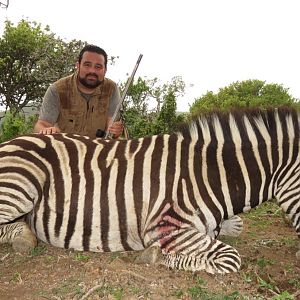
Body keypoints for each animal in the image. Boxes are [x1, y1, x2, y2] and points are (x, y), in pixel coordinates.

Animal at [0, 106, 298, 274]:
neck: (209, 175)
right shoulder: (164, 226)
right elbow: (230, 258)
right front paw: (155, 257)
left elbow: (235, 226)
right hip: (20, 185)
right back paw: (23, 237)